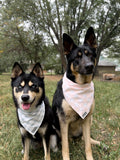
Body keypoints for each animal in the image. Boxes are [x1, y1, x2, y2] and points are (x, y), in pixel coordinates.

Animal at [52, 26, 100, 159]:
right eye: (77, 57)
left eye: (90, 55)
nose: (90, 66)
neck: (80, 86)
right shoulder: (63, 121)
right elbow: (65, 147)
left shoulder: (87, 118)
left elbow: (87, 145)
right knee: (67, 140)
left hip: (90, 119)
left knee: (85, 138)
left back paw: (95, 141)